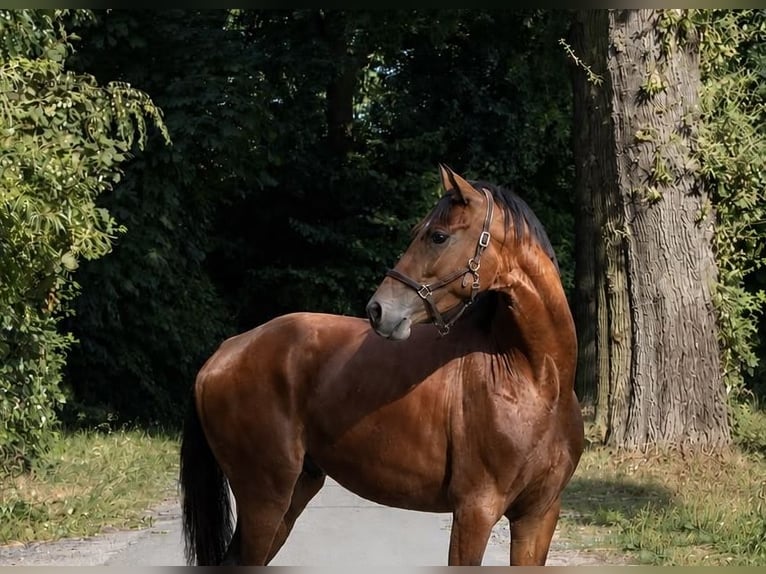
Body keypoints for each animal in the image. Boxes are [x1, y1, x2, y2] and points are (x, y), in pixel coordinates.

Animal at [179, 164, 584, 566]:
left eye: (438, 236)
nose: (378, 310)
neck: (533, 380)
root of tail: (226, 350)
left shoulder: (538, 516)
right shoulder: (474, 512)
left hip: (294, 492)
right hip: (265, 499)